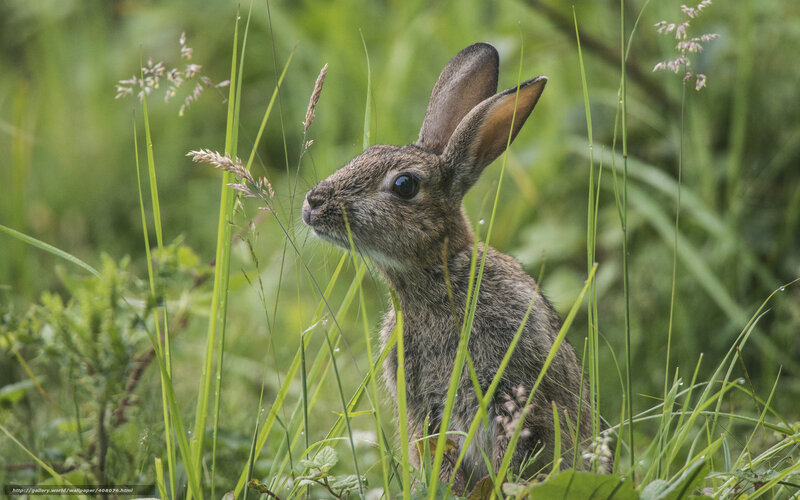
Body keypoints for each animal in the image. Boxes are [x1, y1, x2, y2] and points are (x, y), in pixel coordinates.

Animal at [302, 42, 595, 491]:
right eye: (366, 153)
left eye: (404, 185)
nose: (313, 204)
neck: (437, 276)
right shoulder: (422, 408)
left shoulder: (514, 389)